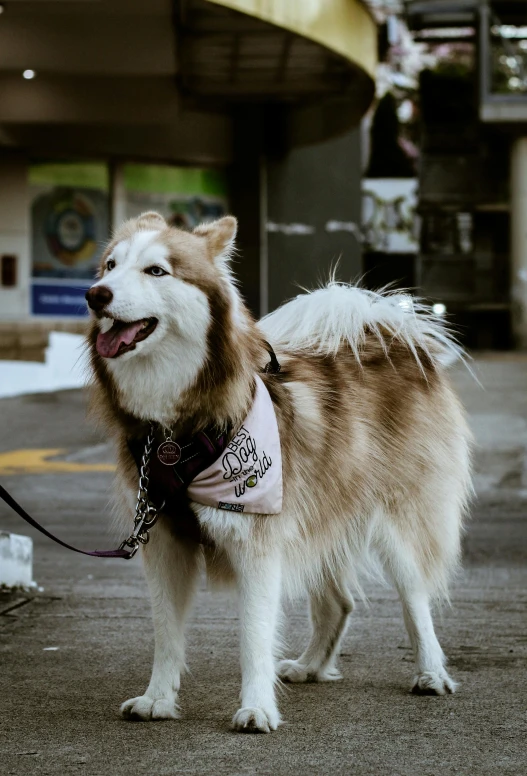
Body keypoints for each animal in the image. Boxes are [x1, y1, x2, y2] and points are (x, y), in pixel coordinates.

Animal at [84, 212, 472, 732]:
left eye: (156, 271)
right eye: (110, 265)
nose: (96, 294)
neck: (175, 431)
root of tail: (388, 335)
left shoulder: (257, 540)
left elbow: (255, 634)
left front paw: (256, 708)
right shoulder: (163, 539)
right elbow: (166, 633)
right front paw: (158, 699)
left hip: (397, 518)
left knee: (416, 596)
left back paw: (430, 672)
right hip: (319, 514)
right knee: (339, 601)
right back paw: (311, 666)